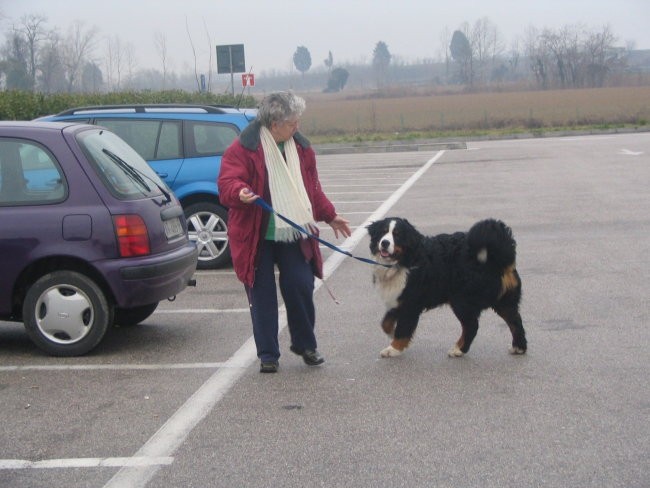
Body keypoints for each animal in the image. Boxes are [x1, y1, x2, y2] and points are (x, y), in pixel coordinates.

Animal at [368, 217, 524, 358]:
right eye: (382, 232)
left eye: (398, 235)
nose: (385, 243)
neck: (406, 261)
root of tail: (498, 256)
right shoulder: (398, 298)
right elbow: (385, 322)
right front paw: (391, 333)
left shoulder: (411, 302)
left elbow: (403, 328)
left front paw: (393, 349)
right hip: (504, 302)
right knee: (515, 322)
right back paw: (518, 347)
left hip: (462, 300)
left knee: (472, 326)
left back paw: (459, 350)